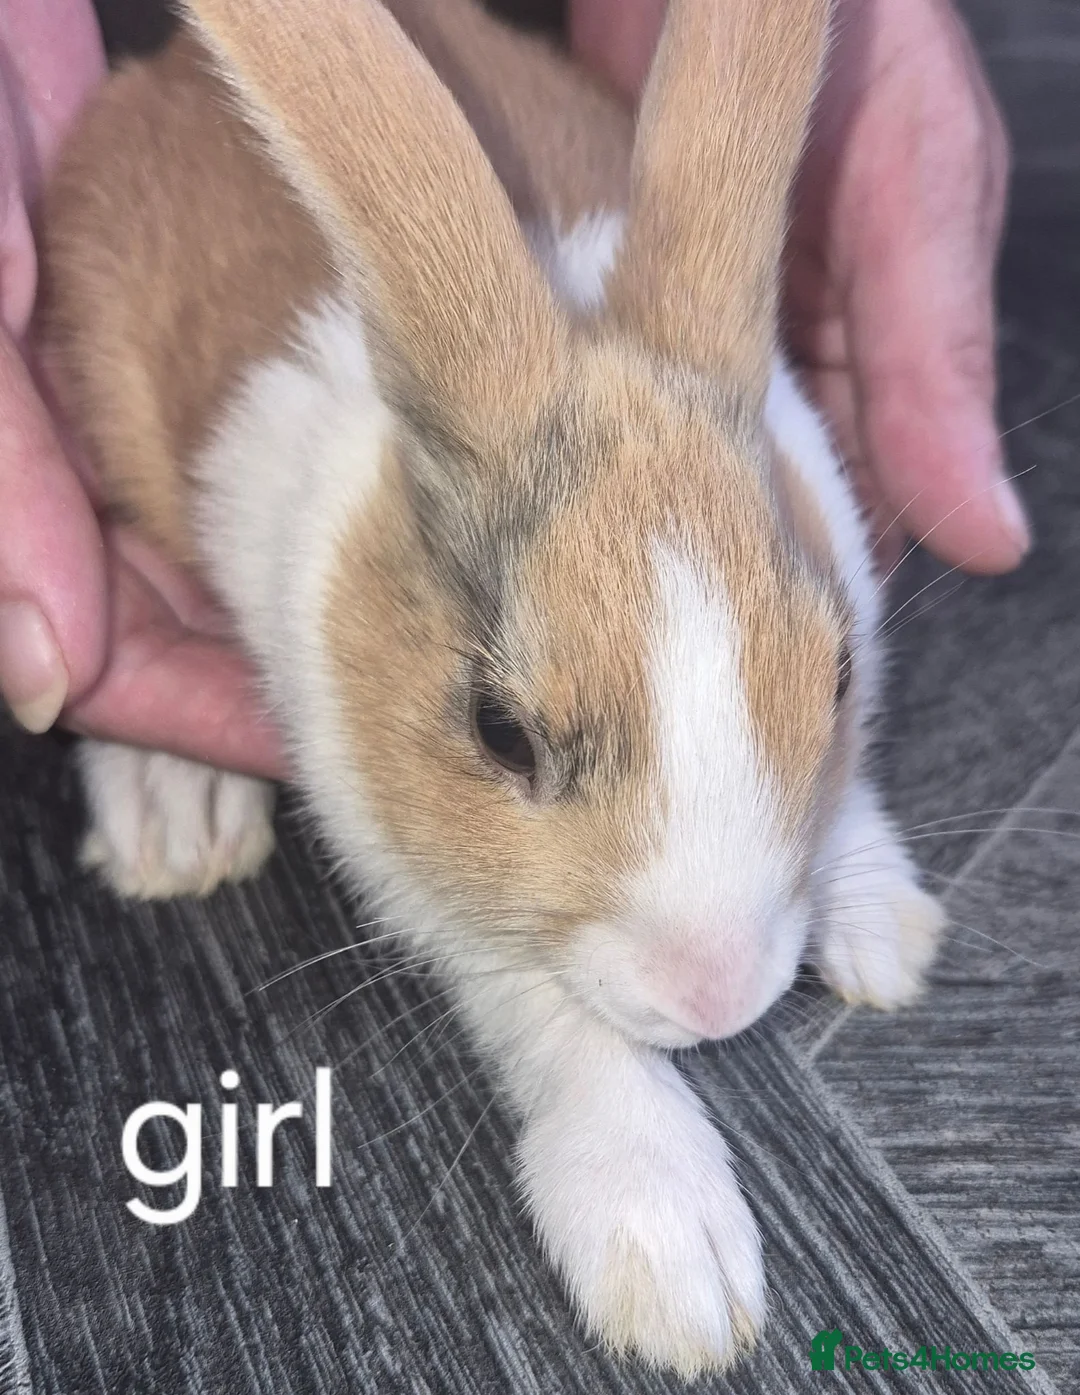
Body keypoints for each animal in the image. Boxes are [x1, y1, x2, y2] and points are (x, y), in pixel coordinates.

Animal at [37, 0, 945, 1374]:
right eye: (501, 733)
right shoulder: (422, 871)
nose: (719, 997)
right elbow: (547, 1013)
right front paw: (673, 1270)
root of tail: (155, 78)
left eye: (836, 673)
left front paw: (888, 930)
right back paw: (171, 818)